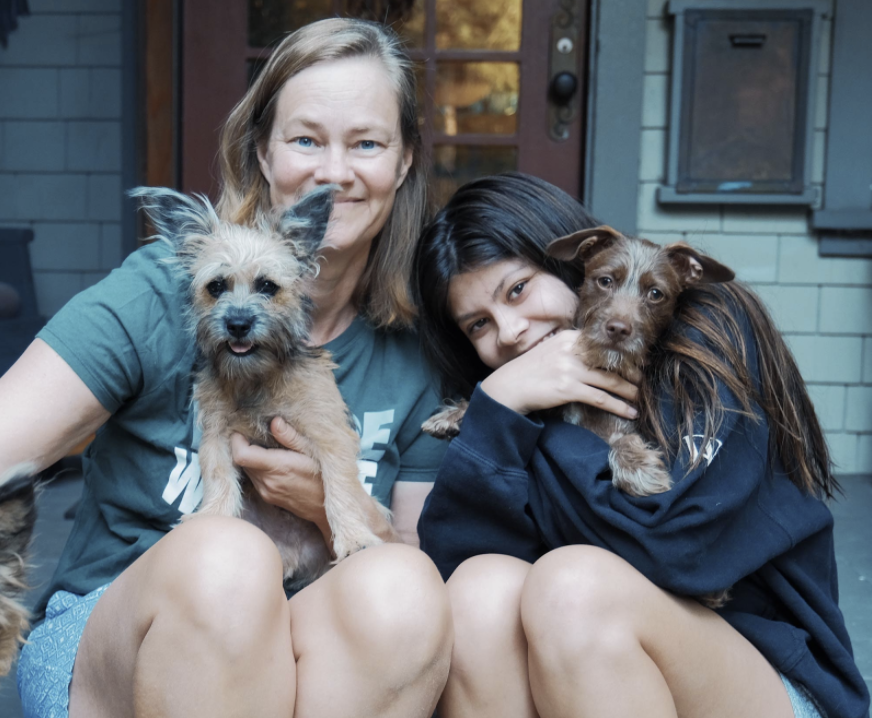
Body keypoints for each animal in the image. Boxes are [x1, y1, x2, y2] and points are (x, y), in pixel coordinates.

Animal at [133, 184, 384, 592]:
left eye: (267, 286)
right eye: (216, 287)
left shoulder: (330, 436)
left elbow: (340, 487)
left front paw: (354, 538)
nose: (237, 323)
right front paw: (211, 516)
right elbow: (219, 477)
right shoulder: (217, 437)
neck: (256, 378)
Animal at [422, 226, 736, 500]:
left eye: (656, 294)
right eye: (605, 281)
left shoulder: (621, 425)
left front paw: (638, 468)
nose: (618, 329)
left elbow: (622, 439)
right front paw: (451, 414)